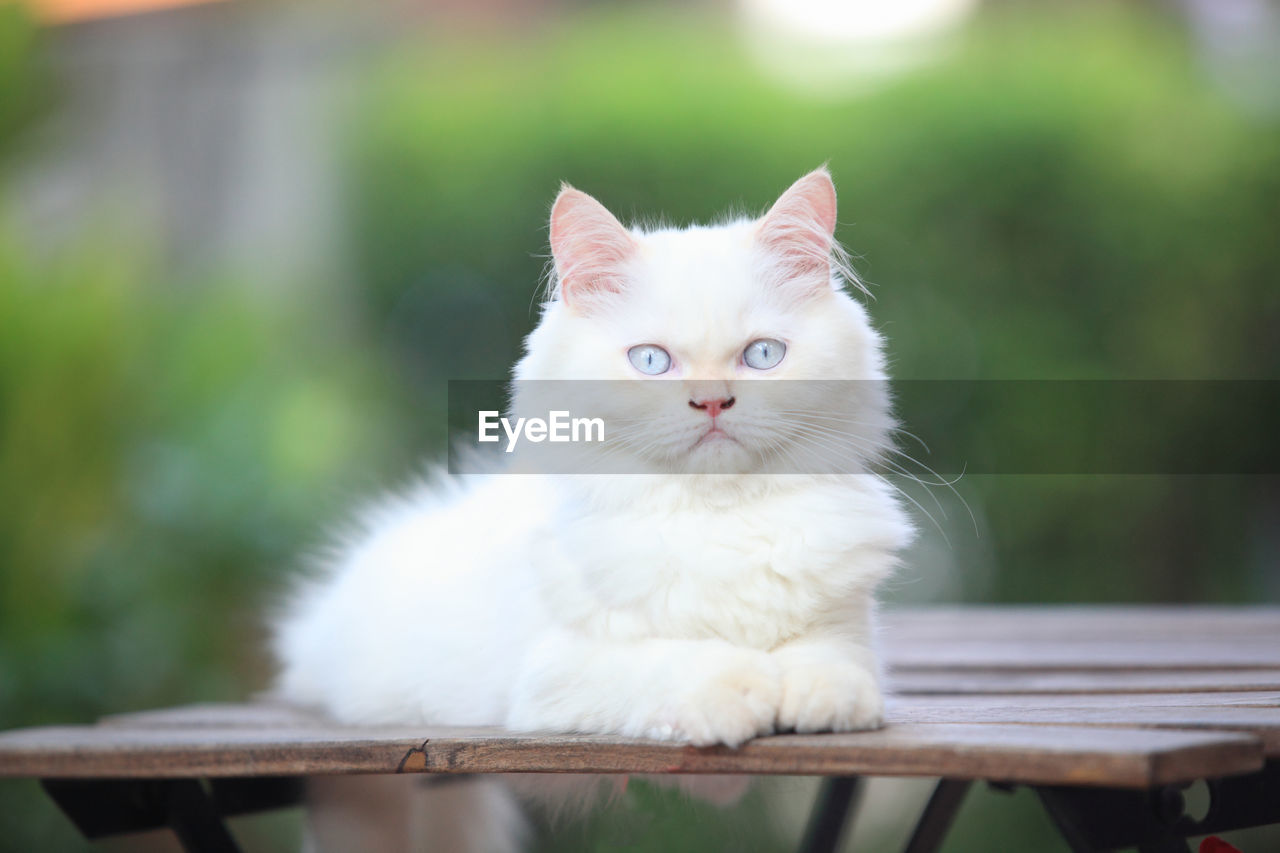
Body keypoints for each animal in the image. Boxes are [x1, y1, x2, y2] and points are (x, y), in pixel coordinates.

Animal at [270, 166, 916, 845]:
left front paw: (820, 698)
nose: (712, 402)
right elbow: (676, 661)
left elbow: (832, 661)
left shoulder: (846, 628)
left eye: (763, 355)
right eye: (651, 361)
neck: (716, 521)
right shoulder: (559, 672)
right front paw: (743, 689)